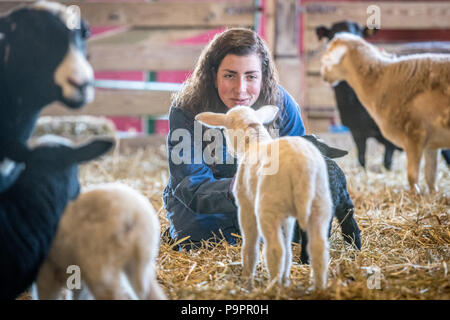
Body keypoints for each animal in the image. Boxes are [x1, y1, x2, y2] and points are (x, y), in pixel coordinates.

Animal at [195, 105, 332, 290]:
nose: (229, 151)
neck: (254, 141)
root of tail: (302, 168)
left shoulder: (245, 205)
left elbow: (250, 247)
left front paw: (247, 278)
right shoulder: (288, 218)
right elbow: (288, 249)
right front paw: (285, 278)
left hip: (269, 207)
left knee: (275, 250)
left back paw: (273, 287)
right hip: (319, 203)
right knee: (318, 249)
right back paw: (318, 288)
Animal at [320, 33, 450, 192]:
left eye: (328, 54)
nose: (323, 75)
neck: (381, 81)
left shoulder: (414, 135)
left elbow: (412, 176)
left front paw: (415, 194)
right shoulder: (431, 144)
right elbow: (431, 176)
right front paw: (432, 195)